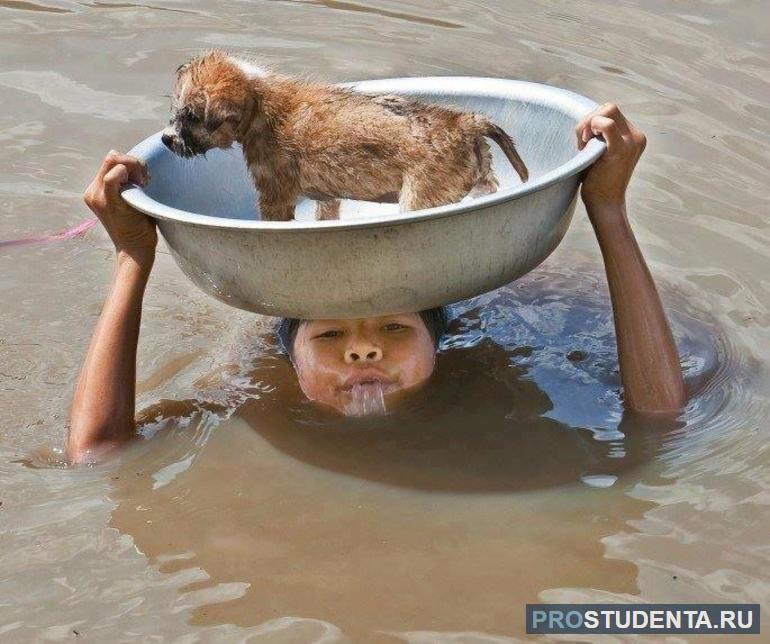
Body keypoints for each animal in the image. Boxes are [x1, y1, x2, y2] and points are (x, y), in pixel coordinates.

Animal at [159, 49, 524, 221]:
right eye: (177, 111)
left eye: (191, 117)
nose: (166, 139)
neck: (259, 101)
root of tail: (463, 122)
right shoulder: (327, 198)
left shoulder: (274, 196)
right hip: (481, 180)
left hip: (419, 199)